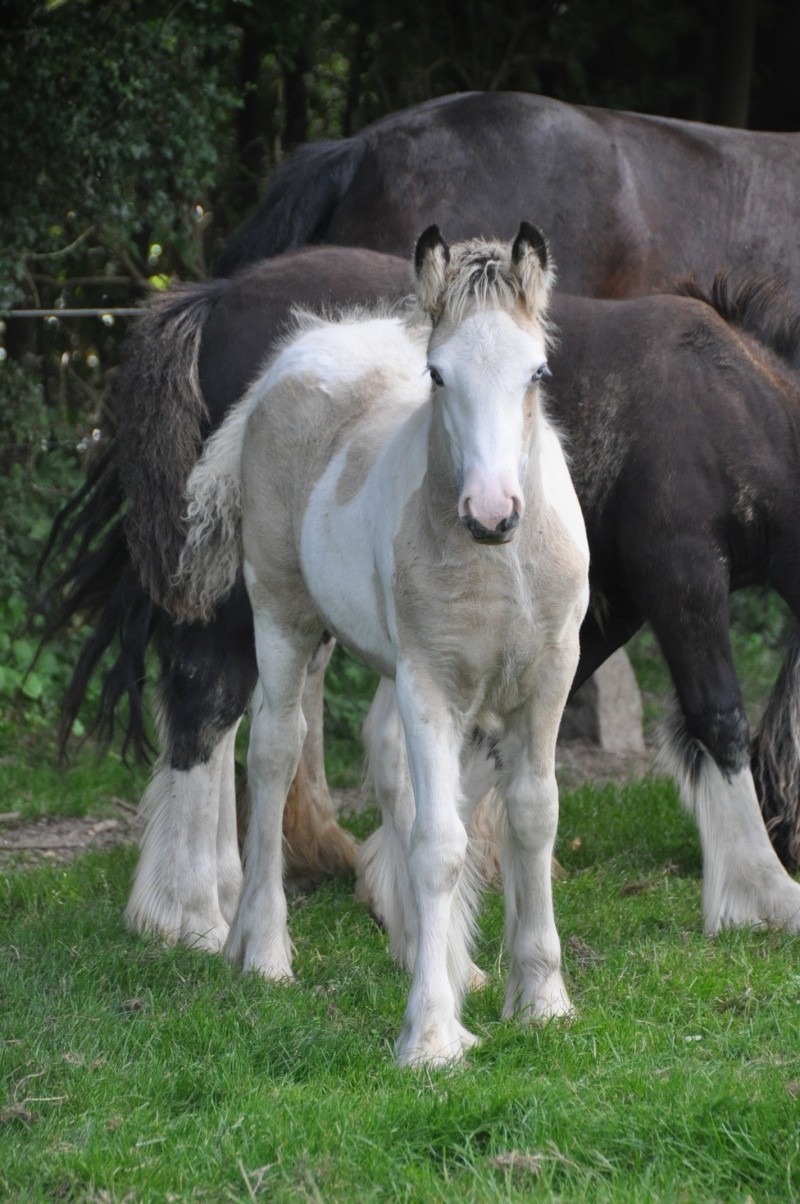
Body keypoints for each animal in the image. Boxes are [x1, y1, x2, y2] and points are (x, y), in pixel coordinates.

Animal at [40, 246, 800, 948]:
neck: (727, 396)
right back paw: (190, 911)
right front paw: (764, 895)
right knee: (209, 697)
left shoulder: (590, 606)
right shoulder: (681, 574)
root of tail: (217, 296)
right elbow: (718, 717)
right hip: (247, 584)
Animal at [173, 226, 587, 1064]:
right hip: (283, 618)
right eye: (438, 374)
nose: (492, 512)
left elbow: (532, 819)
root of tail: (300, 353)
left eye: (537, 372)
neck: (503, 566)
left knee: (389, 767)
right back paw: (261, 952)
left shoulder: (547, 680)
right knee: (275, 751)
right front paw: (430, 1035)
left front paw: (540, 999)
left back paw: (438, 957)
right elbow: (441, 843)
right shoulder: (433, 685)